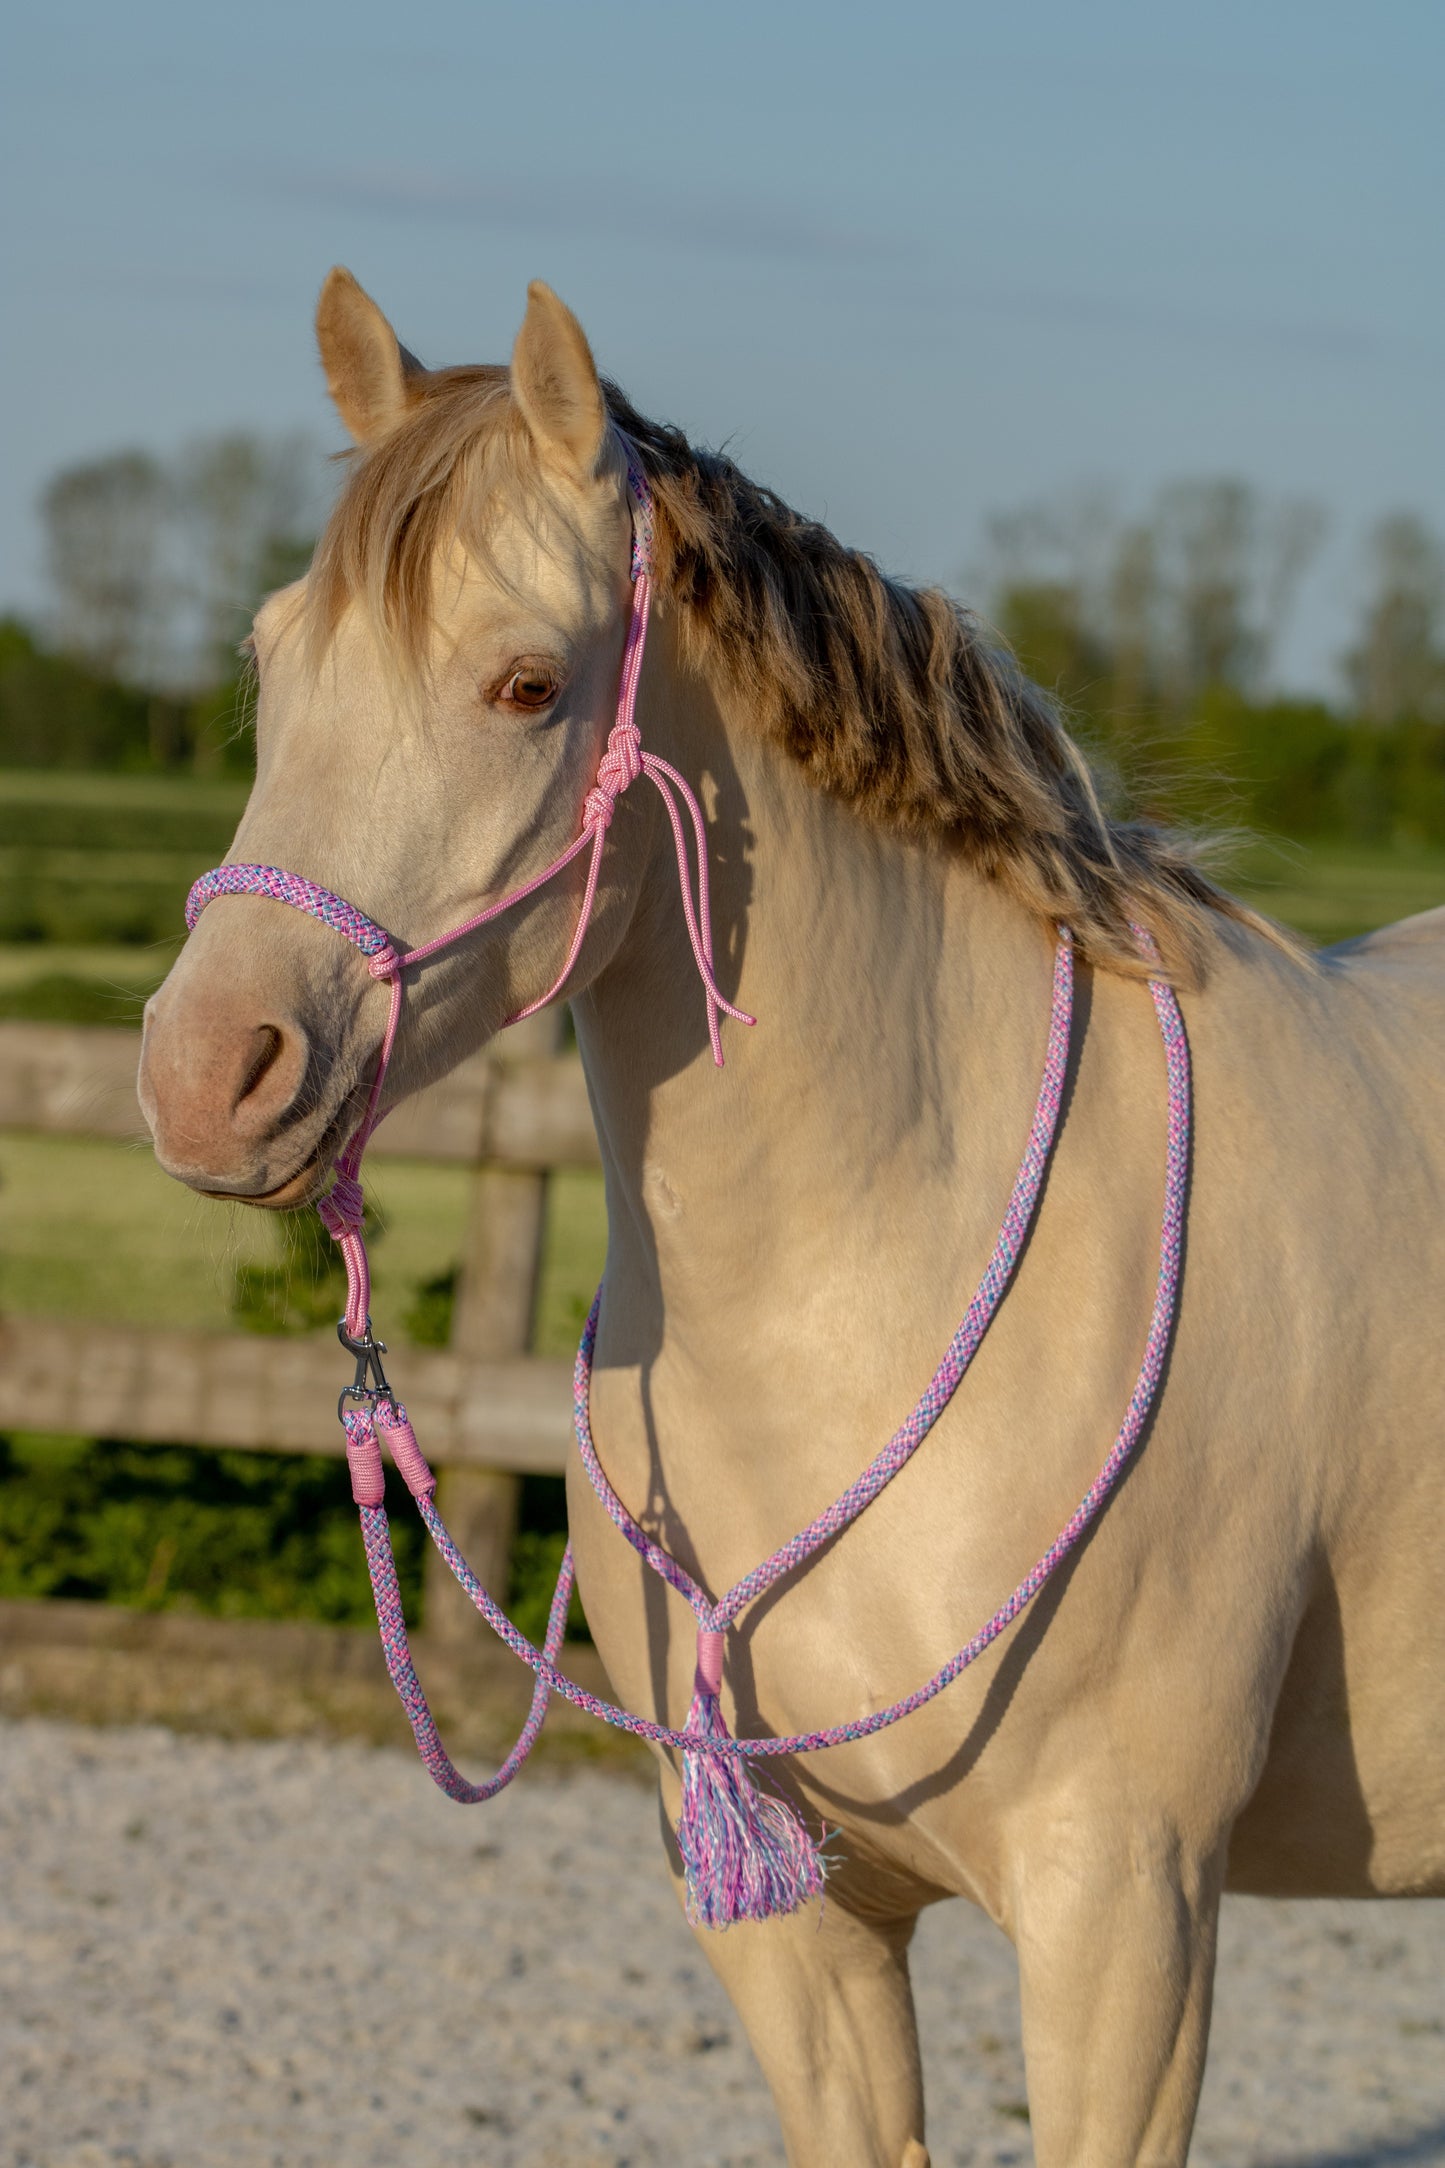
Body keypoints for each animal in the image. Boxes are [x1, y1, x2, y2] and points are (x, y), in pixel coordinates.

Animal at [138, 269, 1445, 2167]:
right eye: (271, 657)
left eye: (526, 683)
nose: (201, 1070)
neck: (874, 1288)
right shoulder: (798, 1935)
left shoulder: (1127, 1916)